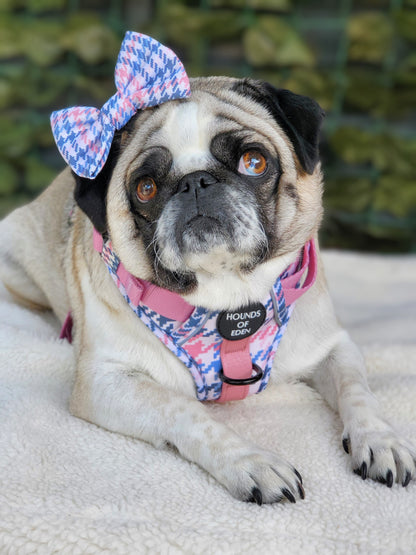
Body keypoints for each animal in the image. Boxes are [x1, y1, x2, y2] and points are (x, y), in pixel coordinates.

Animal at [0, 76, 416, 506]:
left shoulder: (334, 347)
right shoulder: (105, 382)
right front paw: (251, 462)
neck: (228, 295)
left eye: (254, 162)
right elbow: (187, 412)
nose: (195, 181)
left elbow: (358, 391)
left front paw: (380, 439)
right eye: (145, 188)